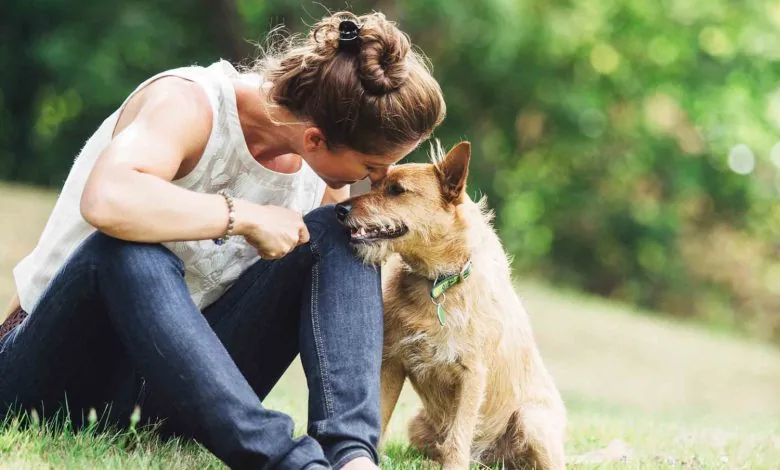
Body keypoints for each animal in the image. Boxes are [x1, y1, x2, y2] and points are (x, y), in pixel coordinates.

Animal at [336, 141, 568, 468]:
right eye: (375, 185)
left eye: (396, 190)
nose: (339, 209)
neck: (438, 282)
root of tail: (490, 459)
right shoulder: (392, 362)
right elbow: (380, 417)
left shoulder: (472, 375)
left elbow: (459, 435)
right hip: (418, 424)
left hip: (531, 420)